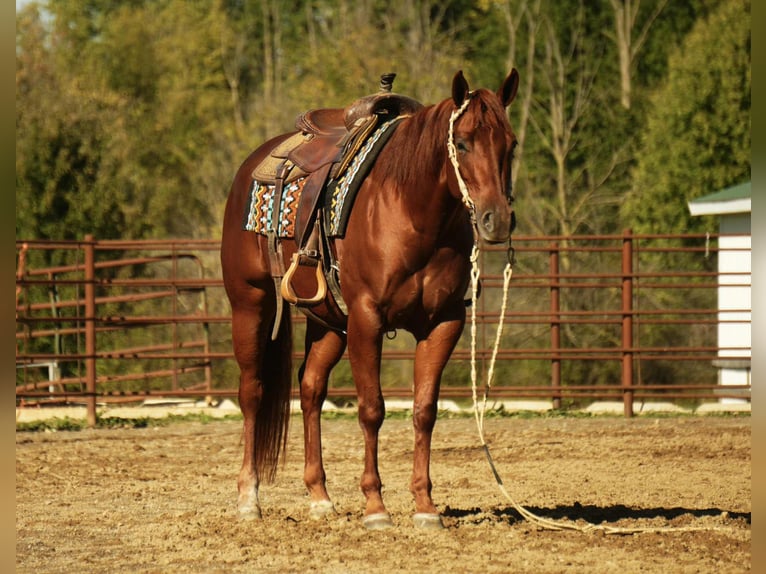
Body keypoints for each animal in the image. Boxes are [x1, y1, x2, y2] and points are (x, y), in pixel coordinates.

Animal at [220, 69, 519, 529]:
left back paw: (320, 497)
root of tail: (252, 165)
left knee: (311, 388)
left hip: (328, 320)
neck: (411, 210)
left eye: (512, 143)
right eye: (464, 141)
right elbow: (372, 409)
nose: (497, 219)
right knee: (252, 391)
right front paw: (376, 507)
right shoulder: (367, 319)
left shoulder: (444, 322)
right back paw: (249, 499)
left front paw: (425, 507)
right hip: (251, 304)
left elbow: (424, 410)